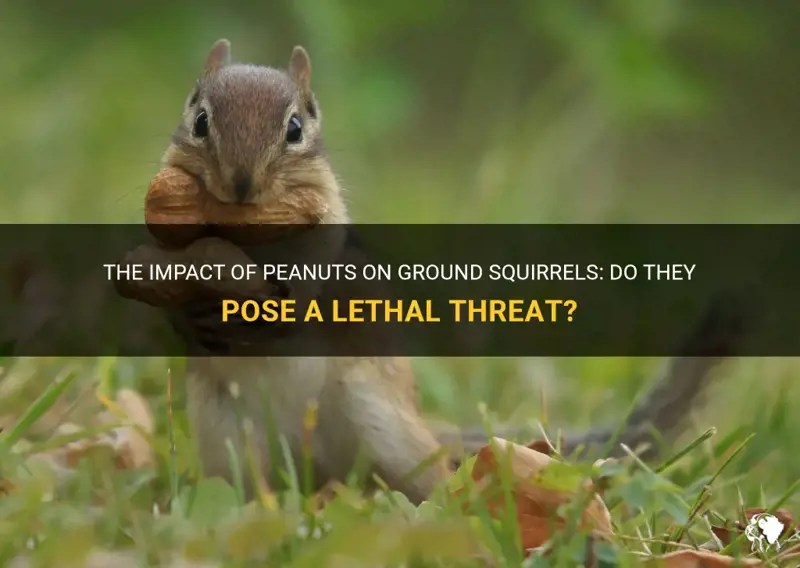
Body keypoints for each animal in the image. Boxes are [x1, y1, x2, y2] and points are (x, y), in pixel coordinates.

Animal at [160, 40, 741, 504]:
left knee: (428, 481)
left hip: (385, 428)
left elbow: (314, 281)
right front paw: (194, 317)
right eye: (200, 119)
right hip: (227, 439)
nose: (240, 185)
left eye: (296, 128)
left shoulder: (328, 235)